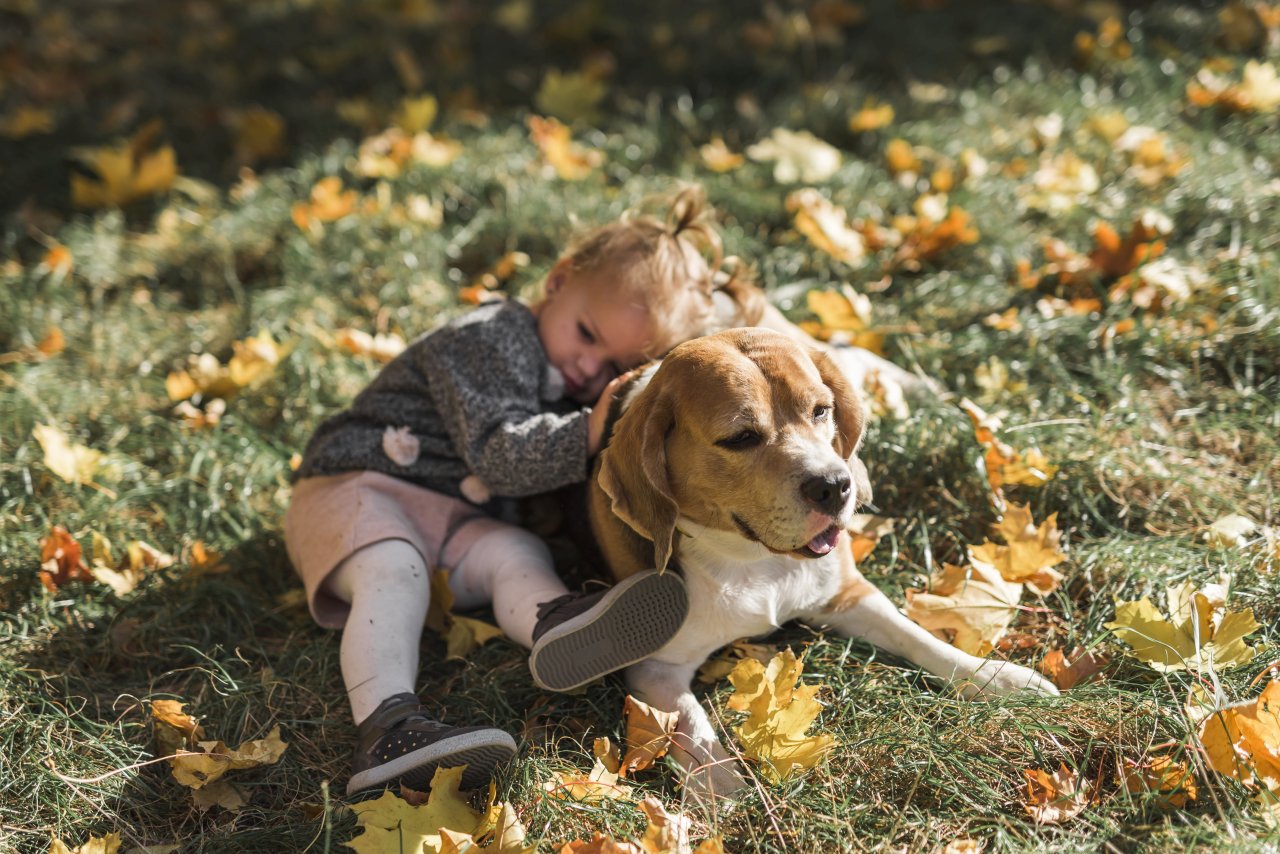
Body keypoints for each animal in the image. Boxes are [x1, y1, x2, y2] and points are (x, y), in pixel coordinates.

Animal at [588, 330, 1059, 804]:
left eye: (820, 411)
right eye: (740, 437)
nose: (835, 486)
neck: (756, 563)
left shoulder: (848, 596)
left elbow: (919, 637)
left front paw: (998, 678)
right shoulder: (655, 666)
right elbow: (691, 724)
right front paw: (719, 784)